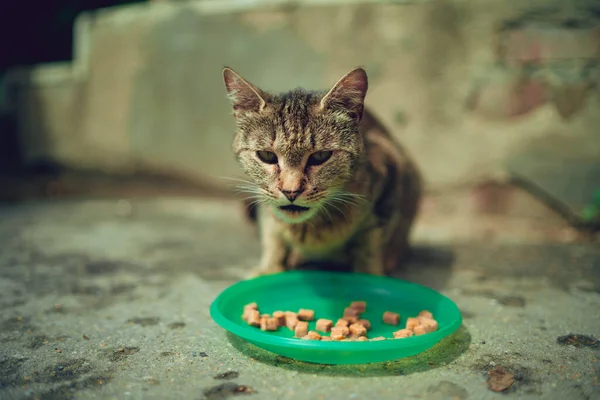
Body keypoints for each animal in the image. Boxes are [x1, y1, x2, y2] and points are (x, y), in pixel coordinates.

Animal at [221, 66, 422, 278]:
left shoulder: (389, 180)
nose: (290, 191)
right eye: (266, 155)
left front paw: (369, 274)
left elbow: (370, 244)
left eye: (320, 156)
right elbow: (272, 233)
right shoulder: (263, 200)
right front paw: (270, 268)